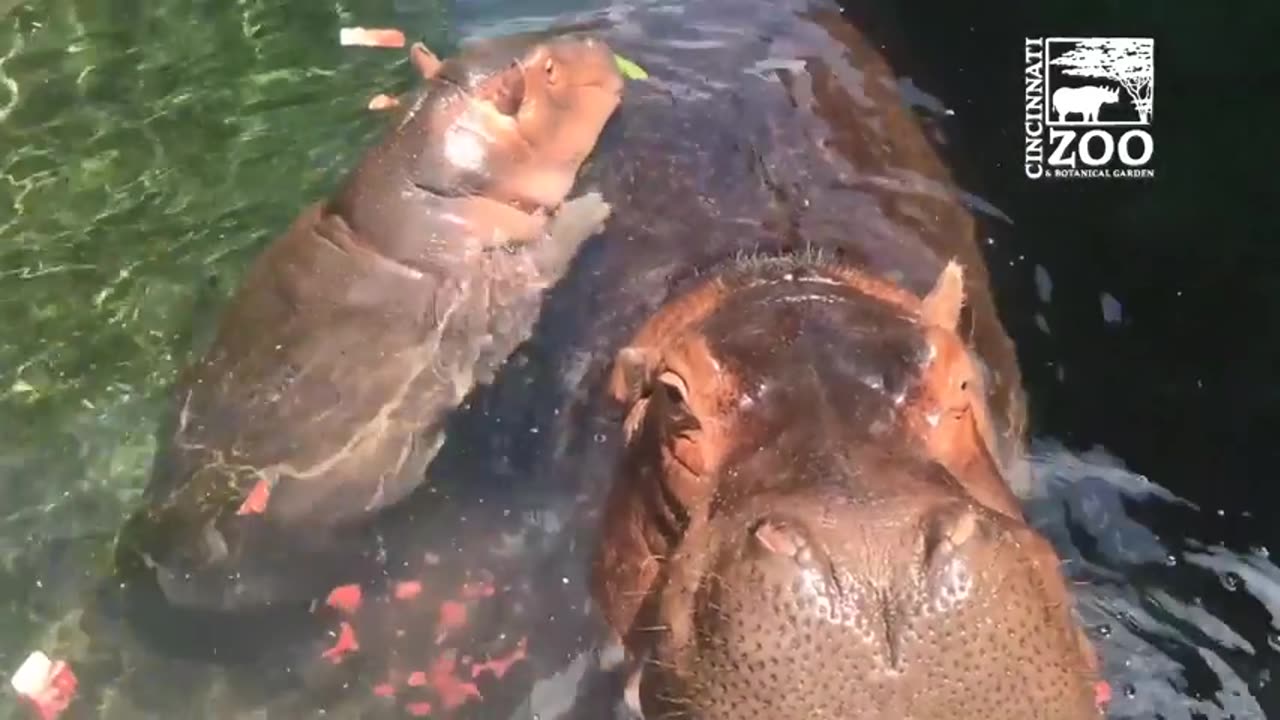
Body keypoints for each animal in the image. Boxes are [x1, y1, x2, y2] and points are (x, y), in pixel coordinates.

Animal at [114, 29, 625, 613]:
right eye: (549, 72)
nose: (596, 38)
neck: (425, 189)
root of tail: (157, 544)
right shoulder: (502, 276)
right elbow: (551, 246)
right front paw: (596, 204)